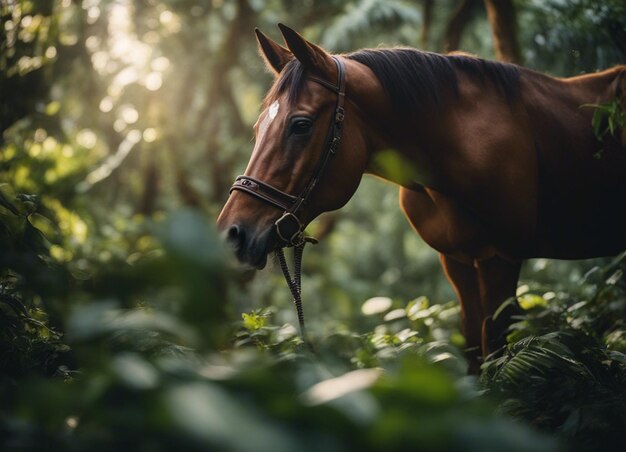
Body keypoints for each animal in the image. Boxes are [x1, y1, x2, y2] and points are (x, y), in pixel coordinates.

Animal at [216, 23, 624, 372]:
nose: (232, 233)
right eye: (258, 128)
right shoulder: (457, 259)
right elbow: (473, 343)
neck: (461, 145)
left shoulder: (501, 257)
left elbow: (495, 343)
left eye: (300, 125)